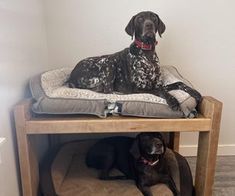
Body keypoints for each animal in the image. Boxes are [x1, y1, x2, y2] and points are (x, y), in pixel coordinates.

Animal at [68, 11, 202, 111]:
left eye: (153, 18)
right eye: (140, 19)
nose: (149, 25)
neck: (147, 53)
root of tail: (71, 76)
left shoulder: (158, 83)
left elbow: (179, 83)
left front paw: (195, 92)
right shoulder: (138, 87)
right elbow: (161, 90)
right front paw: (173, 100)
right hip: (108, 62)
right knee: (107, 90)